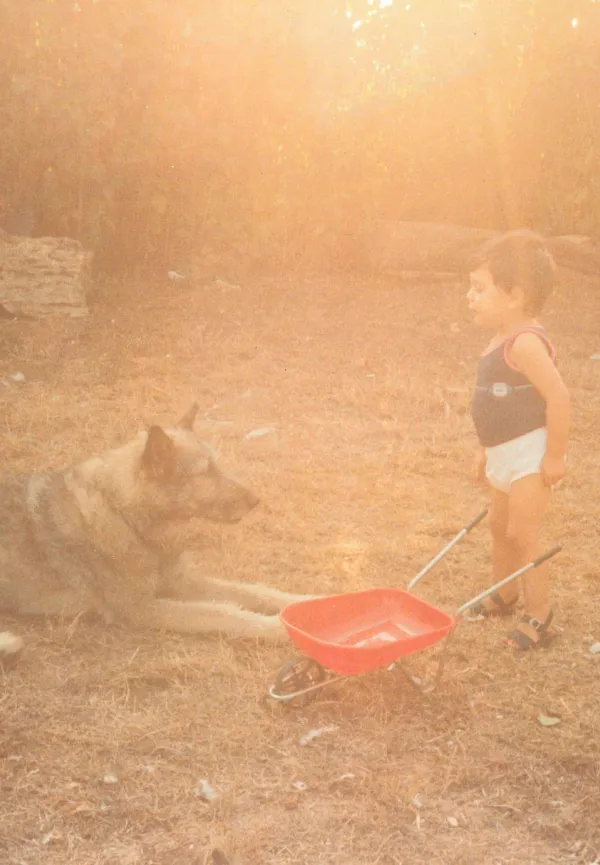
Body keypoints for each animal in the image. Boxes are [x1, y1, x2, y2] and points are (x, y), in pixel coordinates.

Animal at [0, 404, 310, 648]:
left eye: (217, 465)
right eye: (205, 472)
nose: (256, 500)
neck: (125, 517)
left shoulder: (181, 581)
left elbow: (253, 590)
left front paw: (304, 600)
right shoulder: (143, 608)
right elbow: (223, 612)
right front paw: (279, 628)